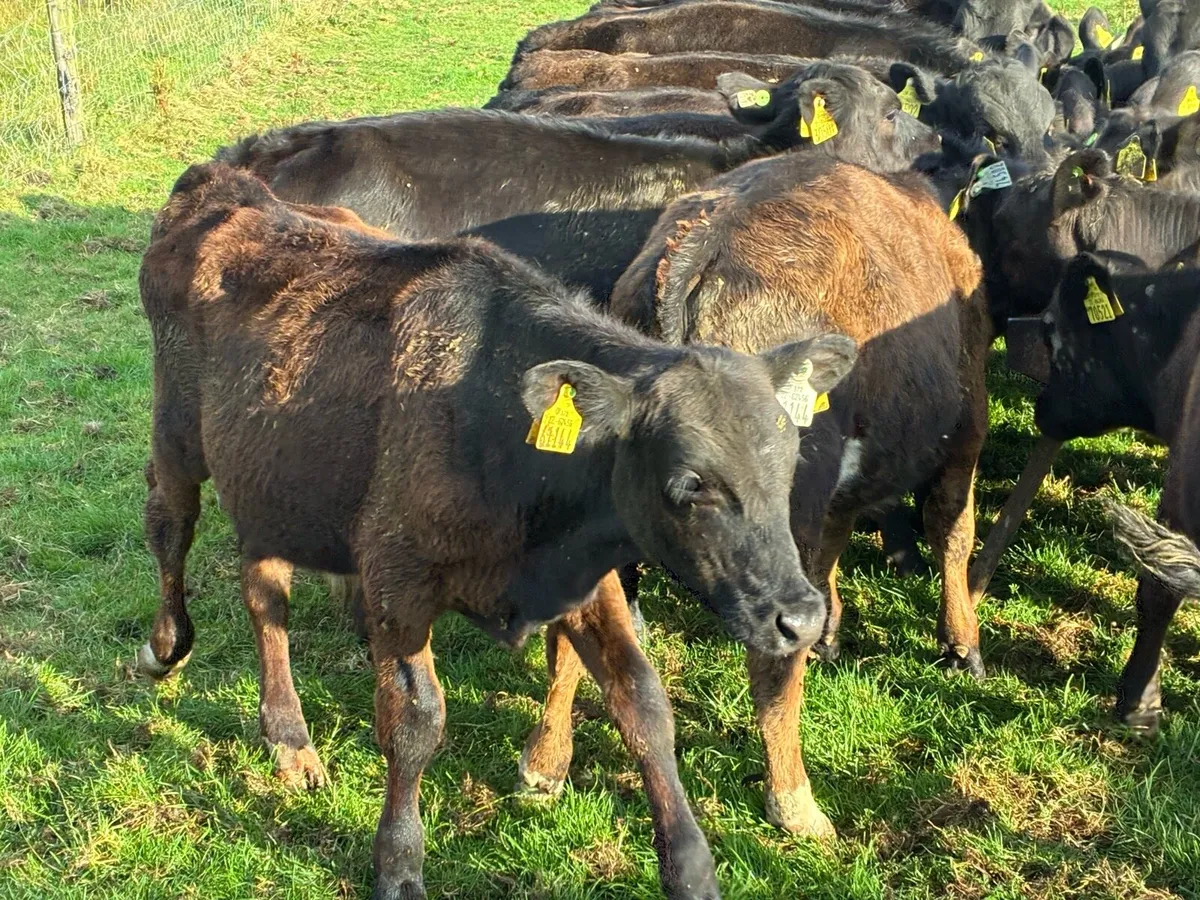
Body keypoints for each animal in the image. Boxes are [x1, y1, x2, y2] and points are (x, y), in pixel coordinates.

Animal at [137, 162, 858, 900]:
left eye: (788, 461)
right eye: (690, 484)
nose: (800, 617)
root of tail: (226, 184)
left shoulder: (586, 578)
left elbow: (644, 704)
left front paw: (690, 867)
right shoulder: (399, 578)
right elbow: (416, 720)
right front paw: (398, 863)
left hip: (270, 478)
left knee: (266, 592)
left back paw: (289, 733)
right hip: (178, 434)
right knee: (170, 523)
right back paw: (168, 648)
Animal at [516, 156, 990, 839]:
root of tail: (697, 249)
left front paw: (834, 635)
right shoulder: (968, 429)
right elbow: (952, 530)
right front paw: (963, 645)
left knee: (572, 630)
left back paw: (545, 762)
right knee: (773, 666)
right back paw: (795, 801)